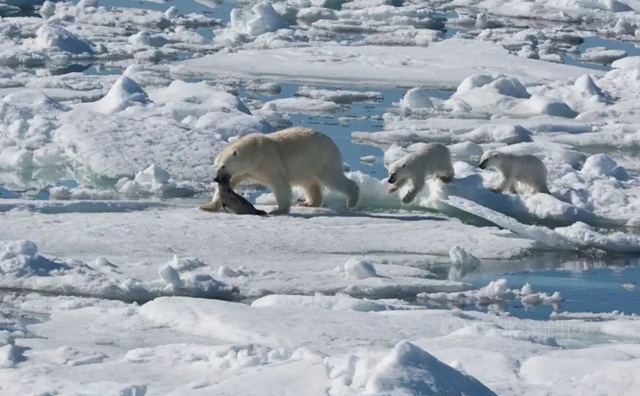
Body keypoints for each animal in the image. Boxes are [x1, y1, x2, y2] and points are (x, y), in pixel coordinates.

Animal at [200, 127, 360, 215]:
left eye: (223, 166)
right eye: (216, 166)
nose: (215, 178)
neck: (254, 152)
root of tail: (331, 142)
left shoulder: (269, 161)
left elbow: (279, 182)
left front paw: (278, 210)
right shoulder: (243, 171)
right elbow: (231, 182)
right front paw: (207, 206)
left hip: (321, 159)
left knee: (334, 178)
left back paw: (352, 200)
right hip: (308, 166)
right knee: (310, 184)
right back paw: (308, 203)